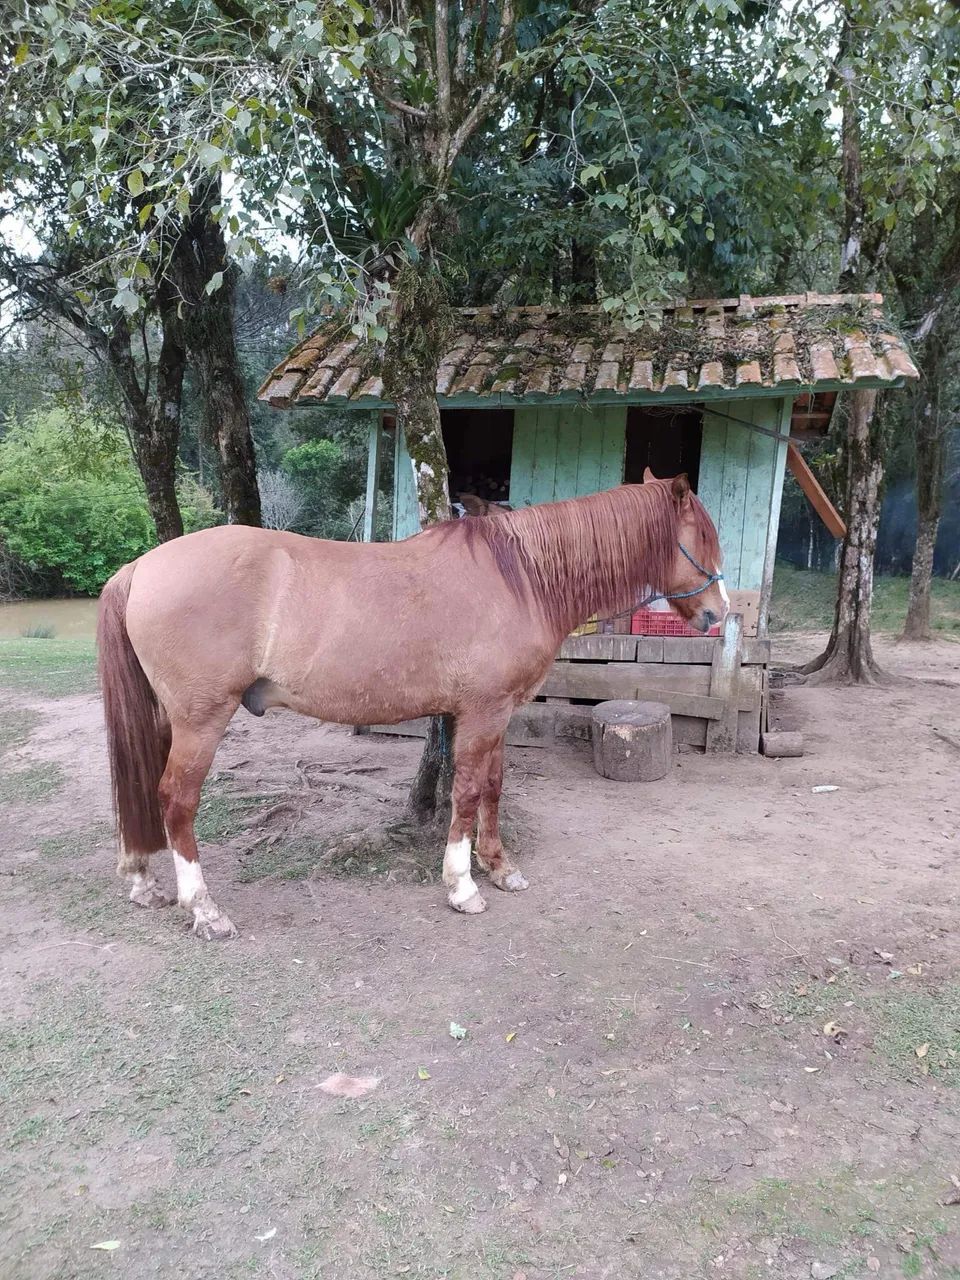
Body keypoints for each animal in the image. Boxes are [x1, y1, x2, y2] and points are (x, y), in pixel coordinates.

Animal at [97, 471, 727, 940]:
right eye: (703, 535)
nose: (718, 615)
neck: (518, 577)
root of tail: (141, 567)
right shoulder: (481, 713)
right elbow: (468, 792)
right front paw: (463, 887)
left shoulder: (496, 714)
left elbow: (493, 787)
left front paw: (500, 868)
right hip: (200, 720)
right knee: (175, 800)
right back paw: (205, 910)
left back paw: (144, 882)